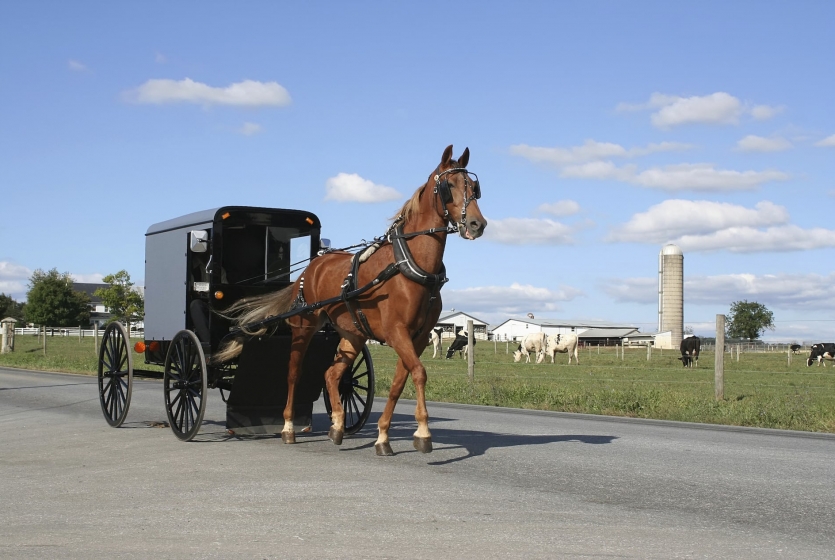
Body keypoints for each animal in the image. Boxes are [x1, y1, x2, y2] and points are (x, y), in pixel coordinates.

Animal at [216, 144, 486, 456]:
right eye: (448, 186)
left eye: (474, 188)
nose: (478, 224)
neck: (410, 266)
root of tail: (311, 267)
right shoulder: (396, 332)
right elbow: (419, 373)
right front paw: (423, 432)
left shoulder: (417, 337)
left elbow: (400, 381)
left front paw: (382, 436)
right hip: (304, 327)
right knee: (294, 373)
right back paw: (288, 427)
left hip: (352, 333)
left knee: (332, 374)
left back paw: (337, 425)